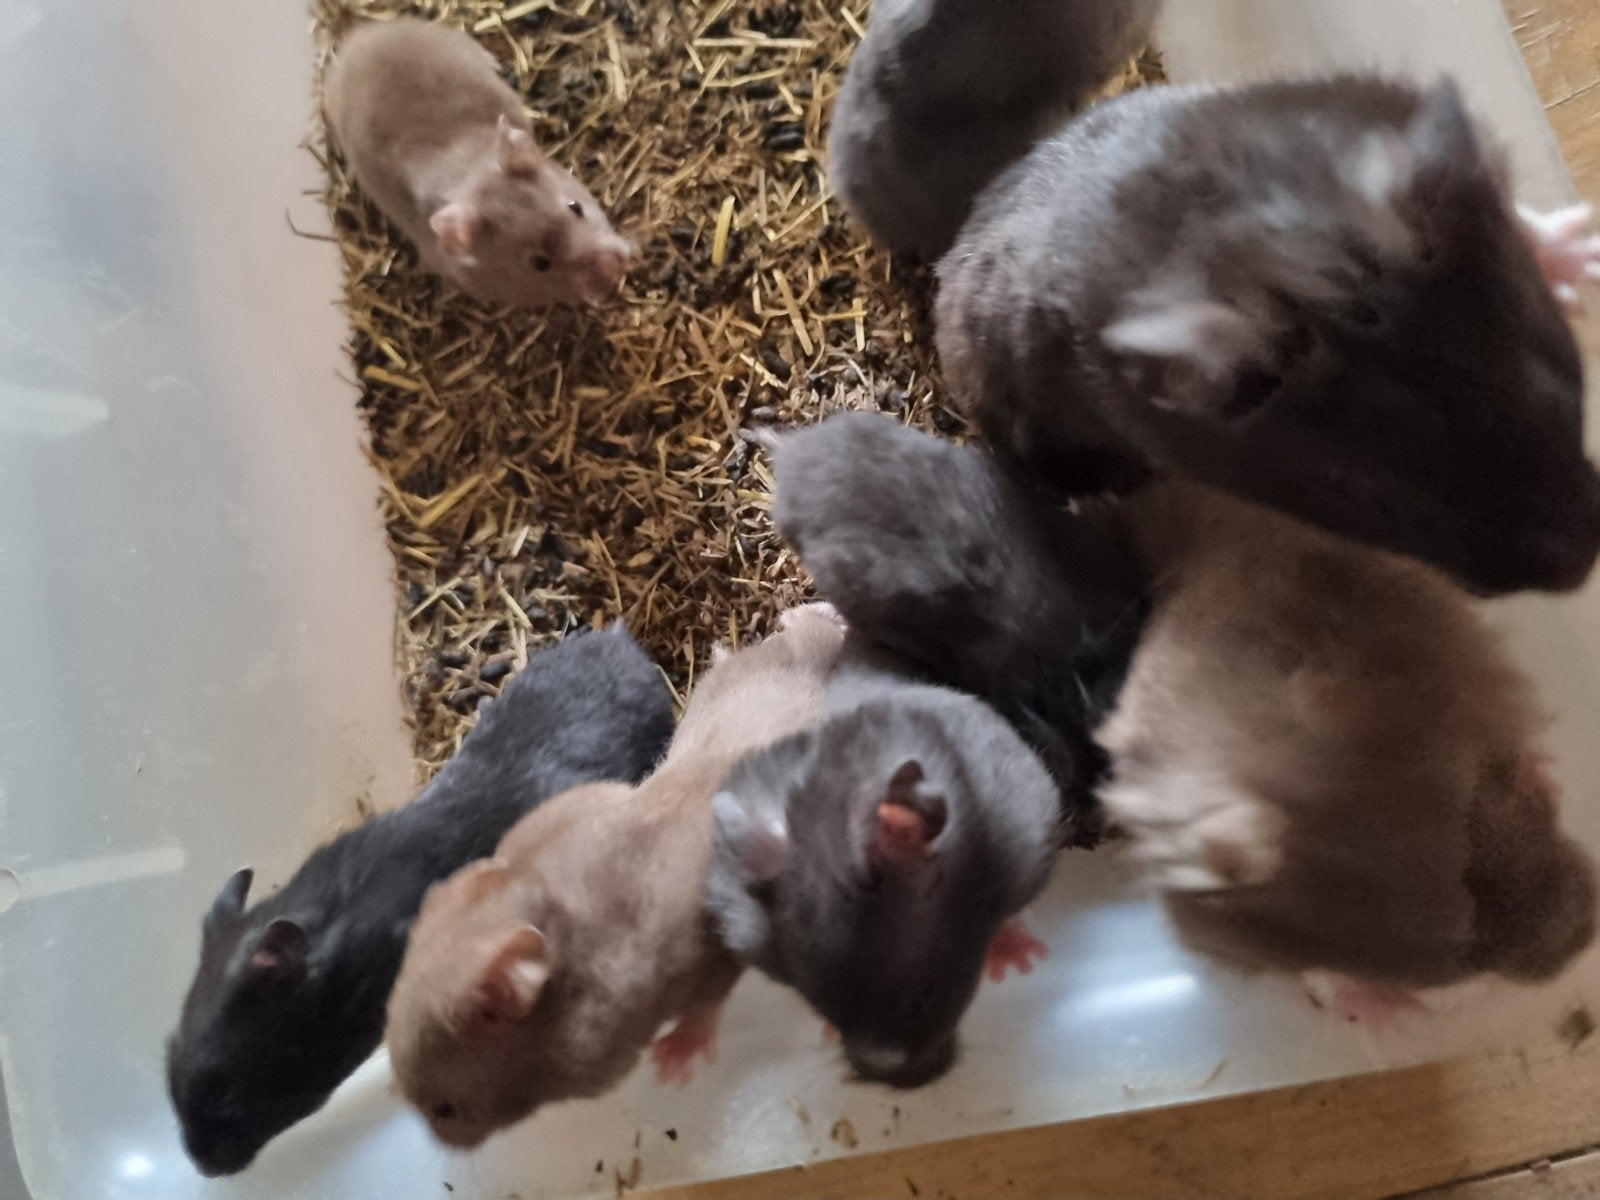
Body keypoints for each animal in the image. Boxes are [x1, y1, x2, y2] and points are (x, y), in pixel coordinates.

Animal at [936, 75, 1600, 595]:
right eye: (1373, 498)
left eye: (1561, 389)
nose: (1581, 568)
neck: (1282, 244)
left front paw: (1580, 253)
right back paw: (1094, 501)